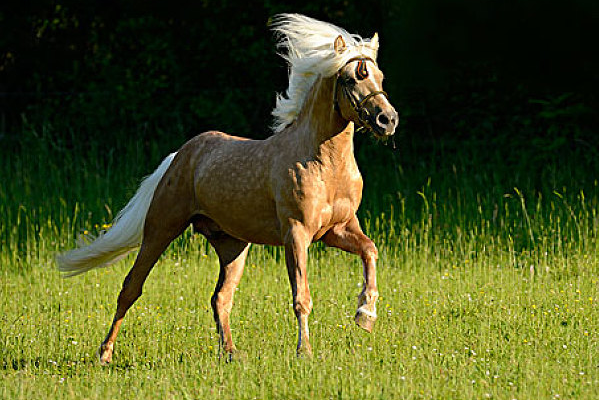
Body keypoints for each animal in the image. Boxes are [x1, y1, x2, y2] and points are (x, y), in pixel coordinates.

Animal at [57, 13, 398, 362]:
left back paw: (231, 353)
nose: (388, 120)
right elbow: (301, 296)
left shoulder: (337, 230)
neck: (324, 164)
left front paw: (365, 315)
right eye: (352, 78)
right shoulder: (297, 233)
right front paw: (304, 351)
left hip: (233, 246)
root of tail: (181, 155)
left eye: (379, 76)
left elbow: (370, 251)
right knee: (131, 288)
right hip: (161, 229)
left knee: (220, 298)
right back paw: (105, 353)